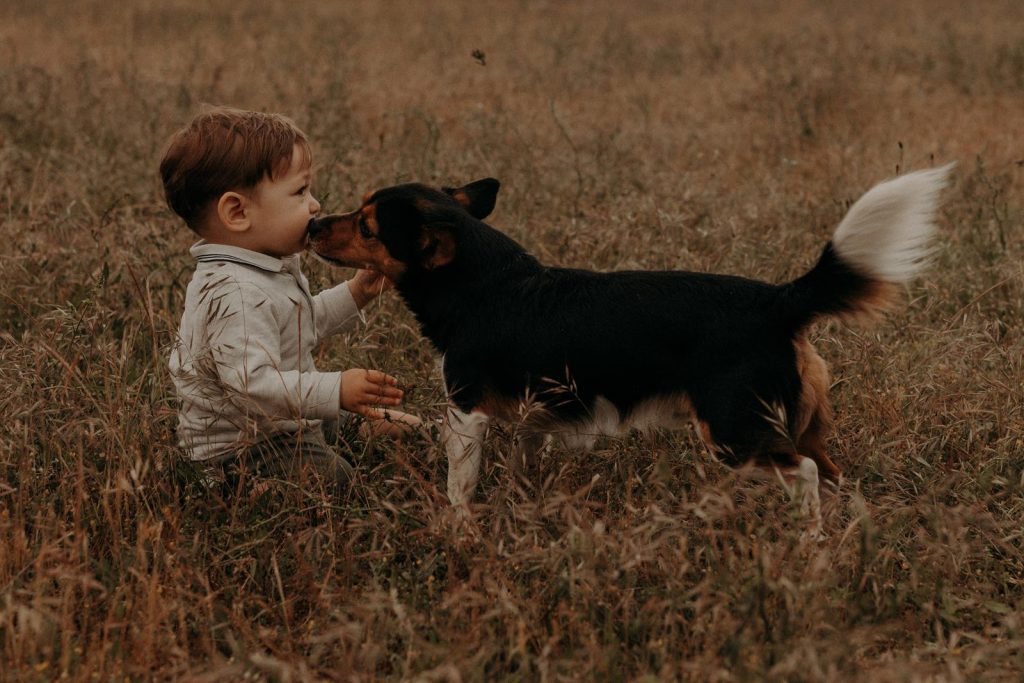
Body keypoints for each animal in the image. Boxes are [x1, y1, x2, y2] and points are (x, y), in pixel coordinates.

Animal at [305, 166, 950, 532]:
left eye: (366, 226)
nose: (311, 225)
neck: (482, 284)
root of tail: (777, 300)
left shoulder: (467, 412)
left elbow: (458, 485)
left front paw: (458, 530)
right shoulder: (531, 420)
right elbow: (518, 473)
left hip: (736, 432)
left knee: (808, 476)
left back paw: (808, 544)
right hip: (797, 425)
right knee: (836, 477)